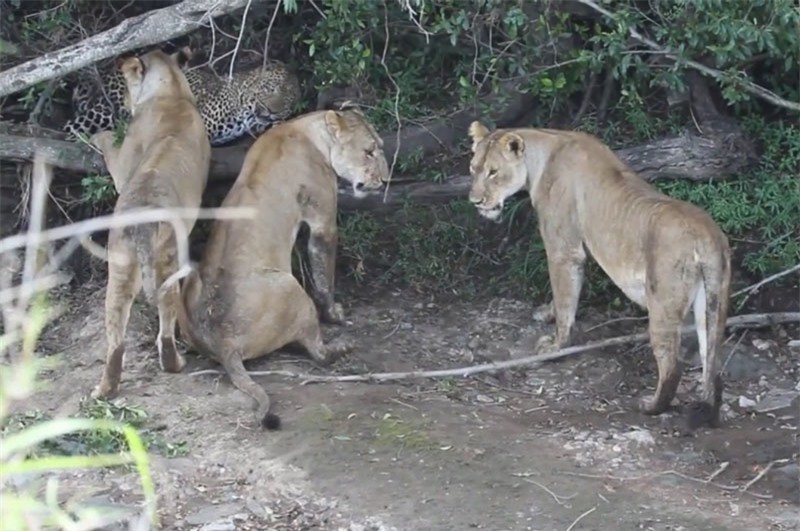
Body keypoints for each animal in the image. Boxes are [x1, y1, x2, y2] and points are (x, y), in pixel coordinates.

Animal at [466, 120, 736, 432]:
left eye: (493, 172)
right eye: (473, 168)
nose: (475, 201)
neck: (542, 155)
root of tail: (706, 236)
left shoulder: (564, 249)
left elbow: (564, 297)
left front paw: (556, 345)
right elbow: (563, 297)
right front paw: (547, 313)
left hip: (663, 302)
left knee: (672, 365)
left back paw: (650, 406)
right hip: (712, 300)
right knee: (712, 362)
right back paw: (709, 410)